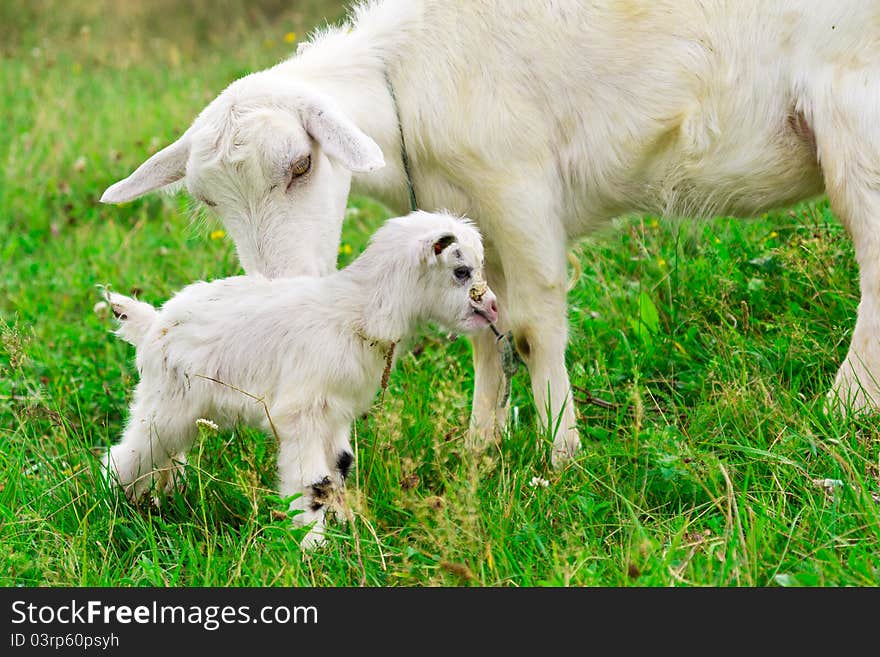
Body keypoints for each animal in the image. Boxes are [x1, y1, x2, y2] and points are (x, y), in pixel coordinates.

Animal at [101, 3, 880, 466]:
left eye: (300, 164)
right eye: (209, 201)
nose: (277, 294)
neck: (406, 83)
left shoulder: (518, 187)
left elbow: (531, 328)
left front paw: (560, 454)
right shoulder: (468, 220)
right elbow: (481, 332)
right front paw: (481, 444)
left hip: (855, 107)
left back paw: (845, 405)